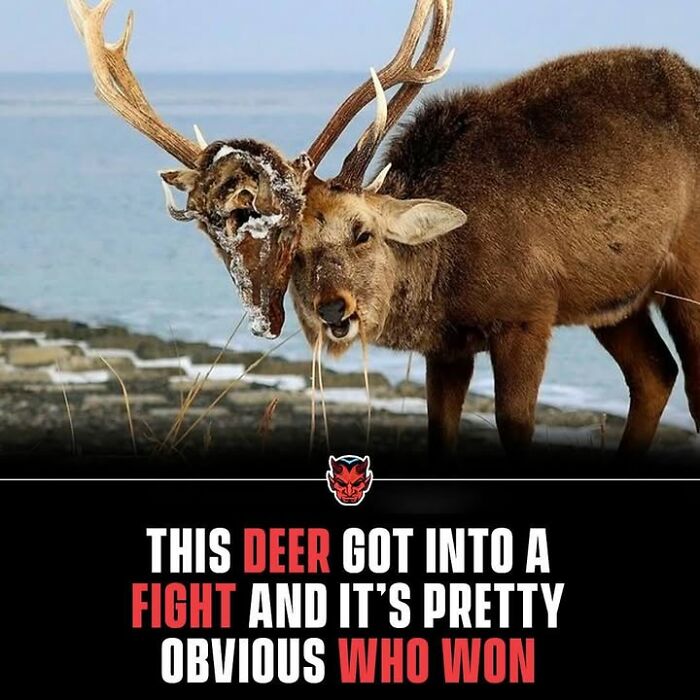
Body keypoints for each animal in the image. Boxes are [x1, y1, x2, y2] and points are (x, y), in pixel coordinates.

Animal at [70, 0, 700, 457]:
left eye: (362, 231)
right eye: (294, 249)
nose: (333, 309)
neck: (449, 275)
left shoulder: (527, 314)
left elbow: (514, 424)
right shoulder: (447, 347)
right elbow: (440, 430)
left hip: (686, 276)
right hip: (616, 299)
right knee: (654, 374)